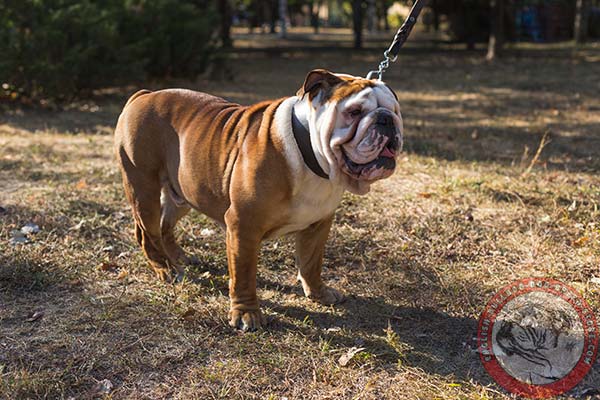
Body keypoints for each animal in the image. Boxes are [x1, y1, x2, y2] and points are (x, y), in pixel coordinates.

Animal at [113, 69, 404, 332]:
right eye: (354, 112)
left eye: (396, 110)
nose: (386, 119)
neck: (310, 155)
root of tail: (144, 95)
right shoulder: (243, 226)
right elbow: (243, 274)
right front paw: (246, 314)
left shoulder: (319, 224)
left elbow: (312, 264)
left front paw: (319, 294)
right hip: (144, 190)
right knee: (147, 233)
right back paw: (165, 268)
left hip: (183, 193)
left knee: (166, 224)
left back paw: (179, 257)